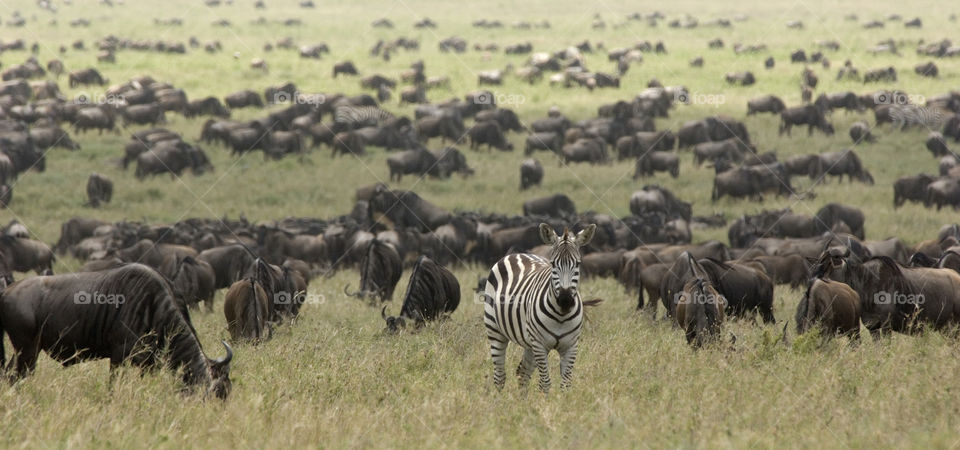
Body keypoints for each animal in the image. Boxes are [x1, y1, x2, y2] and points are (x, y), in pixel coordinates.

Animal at [484, 223, 596, 392]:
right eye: (553, 264)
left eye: (577, 264)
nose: (565, 300)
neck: (561, 316)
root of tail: (518, 254)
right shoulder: (540, 345)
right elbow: (545, 383)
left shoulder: (571, 346)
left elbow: (566, 384)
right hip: (495, 331)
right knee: (500, 376)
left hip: (529, 343)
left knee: (523, 373)